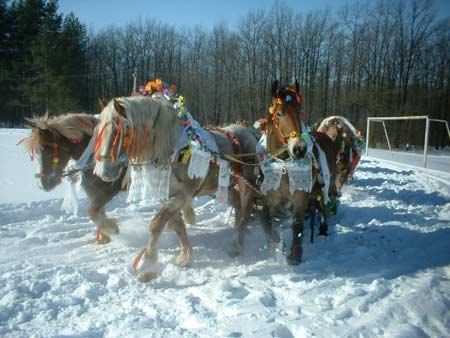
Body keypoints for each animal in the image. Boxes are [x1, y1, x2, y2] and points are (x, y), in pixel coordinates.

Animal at [18, 109, 125, 244]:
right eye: (36, 152)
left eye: (48, 152)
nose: (42, 184)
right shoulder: (93, 192)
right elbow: (99, 213)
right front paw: (104, 236)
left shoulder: (109, 191)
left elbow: (92, 213)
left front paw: (112, 228)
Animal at [91, 95, 256, 282]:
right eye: (98, 131)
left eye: (121, 132)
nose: (103, 172)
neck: (173, 152)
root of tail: (247, 131)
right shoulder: (167, 196)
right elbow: (177, 225)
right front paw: (185, 255)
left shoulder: (181, 195)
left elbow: (156, 225)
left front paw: (148, 267)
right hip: (227, 187)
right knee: (238, 208)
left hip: (247, 185)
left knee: (246, 210)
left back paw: (237, 245)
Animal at [258, 80, 336, 266]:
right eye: (279, 113)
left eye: (299, 111)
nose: (299, 148)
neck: (284, 166)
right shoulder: (270, 199)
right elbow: (267, 222)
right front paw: (278, 246)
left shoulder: (300, 198)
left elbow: (297, 224)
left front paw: (295, 255)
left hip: (326, 184)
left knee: (323, 203)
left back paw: (323, 227)